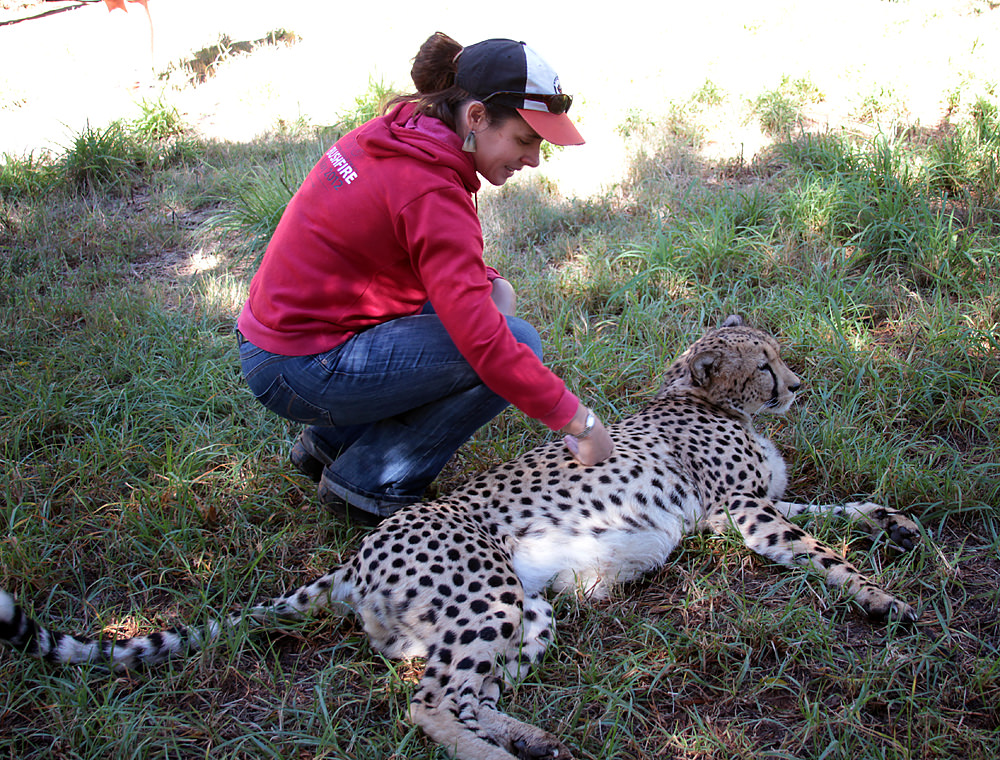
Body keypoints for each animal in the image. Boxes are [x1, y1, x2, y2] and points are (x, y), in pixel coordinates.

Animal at [0, 315, 921, 760]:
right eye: (763, 365)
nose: (798, 384)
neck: (699, 399)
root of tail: (358, 553)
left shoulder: (760, 506)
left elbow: (845, 510)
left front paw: (898, 525)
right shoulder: (741, 515)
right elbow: (822, 551)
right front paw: (883, 601)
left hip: (522, 611)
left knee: (460, 692)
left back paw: (530, 738)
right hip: (487, 596)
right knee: (425, 704)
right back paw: (499, 757)